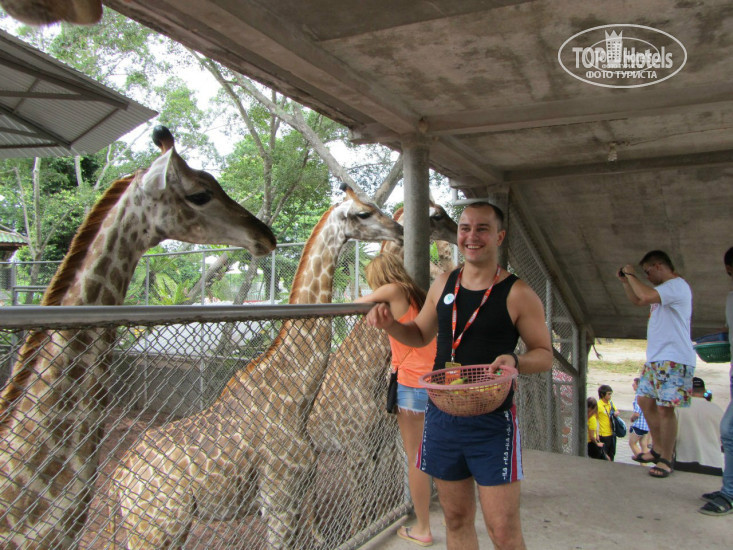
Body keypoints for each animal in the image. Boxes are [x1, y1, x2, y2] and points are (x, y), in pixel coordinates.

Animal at [109, 185, 403, 549]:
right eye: (364, 212)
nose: (399, 230)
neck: (296, 397)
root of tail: (119, 479)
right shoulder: (280, 500)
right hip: (156, 528)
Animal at [307, 202, 457, 533]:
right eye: (437, 215)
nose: (457, 231)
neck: (368, 376)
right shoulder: (356, 446)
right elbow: (359, 506)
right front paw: (358, 530)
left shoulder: (379, 442)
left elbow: (375, 495)